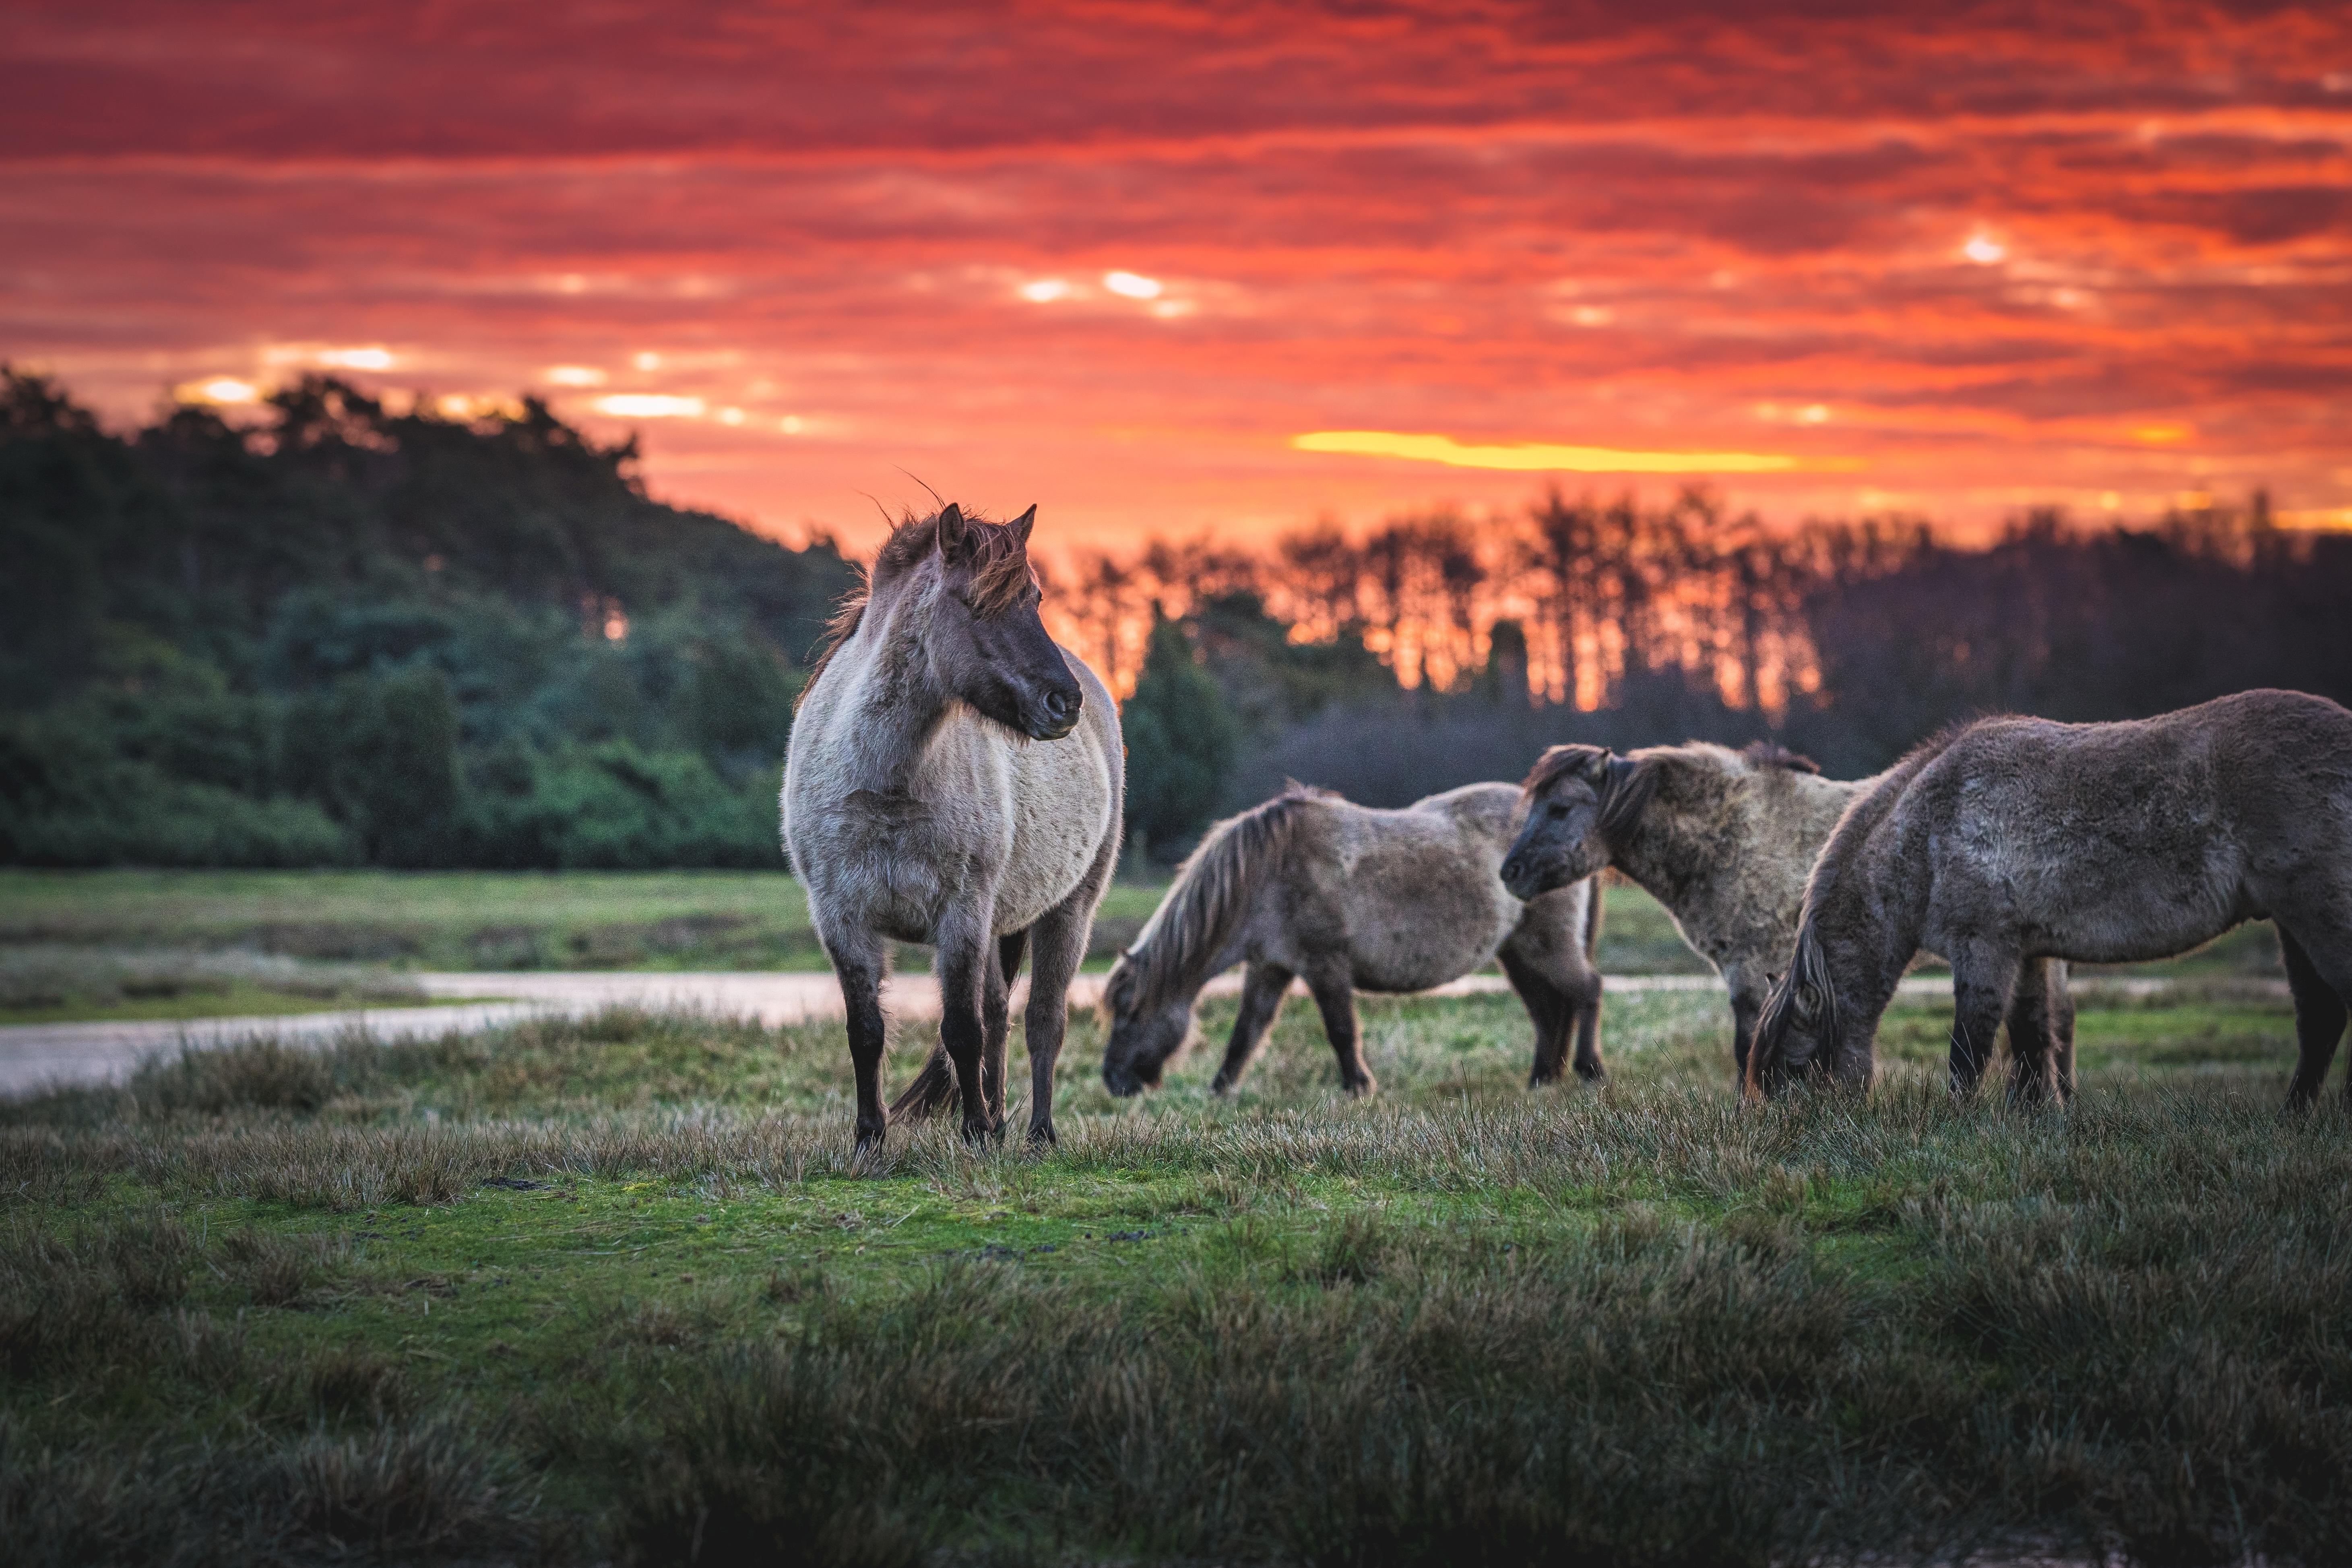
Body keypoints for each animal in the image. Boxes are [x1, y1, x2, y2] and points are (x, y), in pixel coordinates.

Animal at [781, 503, 1119, 1152]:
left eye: (1034, 598)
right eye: (974, 602)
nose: (1064, 703)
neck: (887, 782)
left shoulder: (959, 916)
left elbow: (962, 1028)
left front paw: (975, 1132)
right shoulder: (842, 920)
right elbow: (866, 1031)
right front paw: (870, 1140)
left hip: (1070, 910)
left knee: (1043, 1020)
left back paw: (1037, 1133)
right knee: (1001, 1013)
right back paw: (1001, 1120)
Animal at [1096, 780, 1609, 1100]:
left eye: (1129, 1013)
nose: (1114, 1081)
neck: (1266, 872)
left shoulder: (1325, 967)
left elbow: (1341, 1031)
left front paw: (1358, 1087)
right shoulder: (1269, 968)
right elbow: (1246, 1034)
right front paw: (1219, 1091)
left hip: (1547, 946)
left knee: (1586, 992)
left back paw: (1588, 1071)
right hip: (1518, 953)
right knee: (1547, 1012)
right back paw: (1542, 1078)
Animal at [1750, 691, 2352, 1109]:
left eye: (1797, 1068)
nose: (1796, 1135)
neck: (1925, 828)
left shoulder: (1984, 947)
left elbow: (1970, 1047)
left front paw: (1954, 1120)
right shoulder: (2030, 951)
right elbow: (2033, 1038)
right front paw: (2041, 1115)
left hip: (2315, 913)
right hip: (2292, 923)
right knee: (2320, 1021)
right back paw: (2291, 1117)